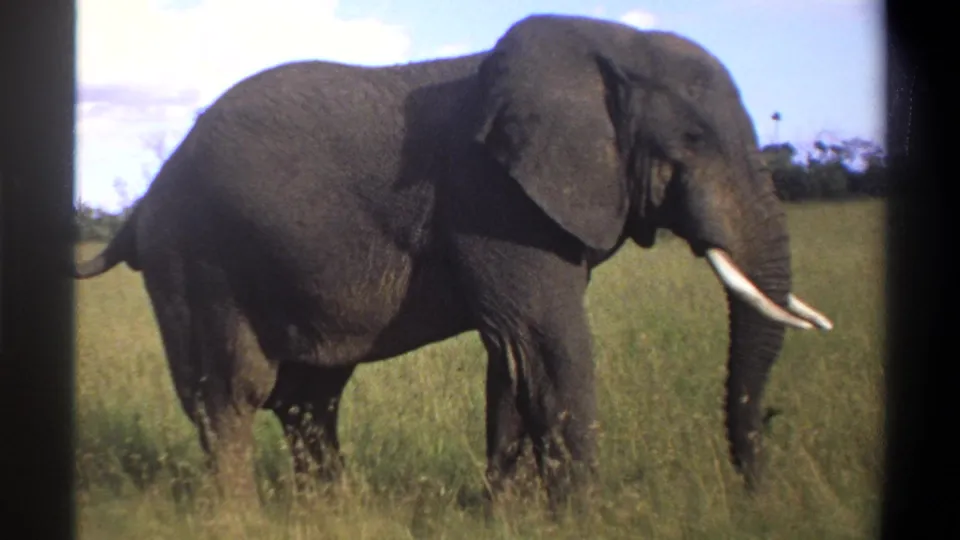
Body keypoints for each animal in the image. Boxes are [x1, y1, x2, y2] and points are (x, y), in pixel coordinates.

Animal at [72, 14, 833, 511]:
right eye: (693, 140)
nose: (756, 494)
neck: (604, 41)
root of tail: (141, 206)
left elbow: (515, 358)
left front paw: (505, 517)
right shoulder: (490, 196)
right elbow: (550, 345)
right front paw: (587, 518)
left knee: (310, 396)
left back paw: (332, 513)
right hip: (195, 261)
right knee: (231, 393)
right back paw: (243, 520)